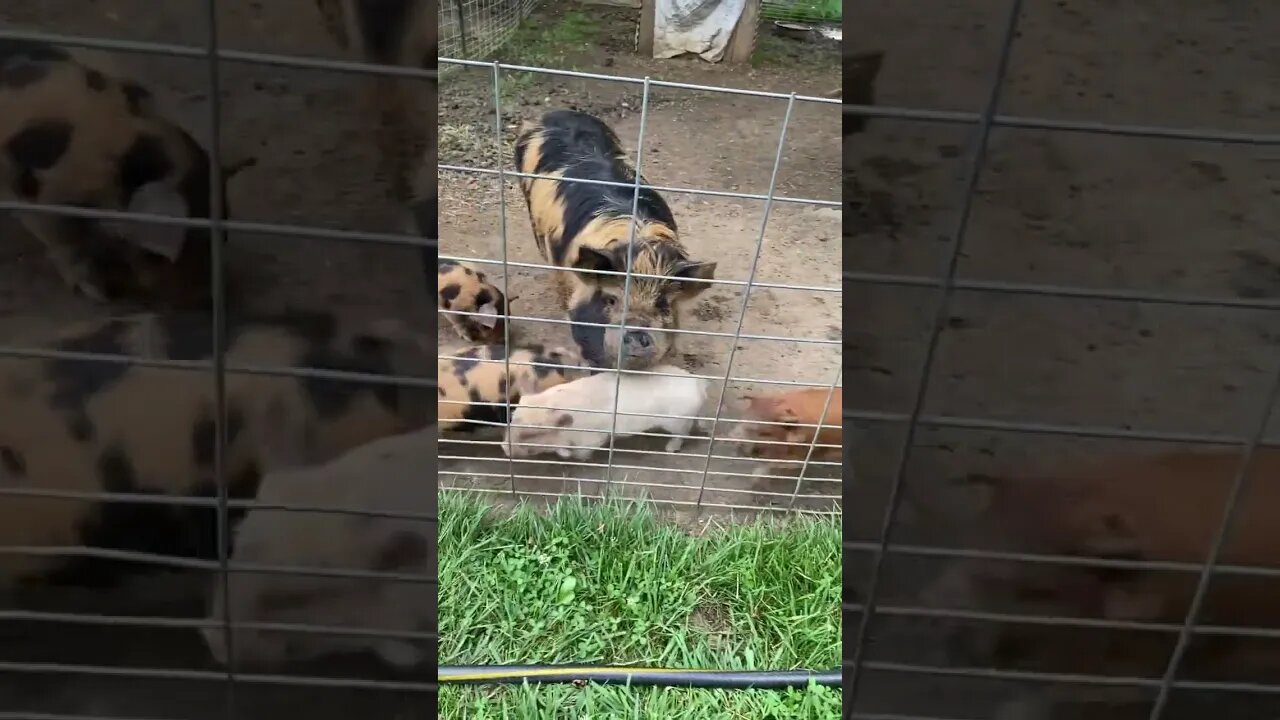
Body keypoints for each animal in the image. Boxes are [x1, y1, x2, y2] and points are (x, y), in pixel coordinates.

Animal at [0, 38, 254, 304]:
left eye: (224, 234)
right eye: (154, 256)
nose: (208, 297)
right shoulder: (48, 200)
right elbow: (64, 243)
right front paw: (98, 293)